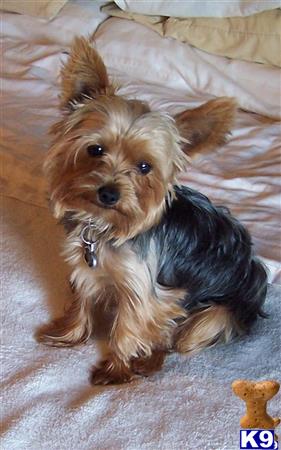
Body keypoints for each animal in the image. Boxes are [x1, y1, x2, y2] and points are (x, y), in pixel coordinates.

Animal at [37, 37, 266, 384]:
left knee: (179, 337)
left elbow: (128, 327)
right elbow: (81, 301)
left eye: (145, 167)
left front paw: (116, 371)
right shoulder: (85, 266)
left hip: (214, 316)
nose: (108, 193)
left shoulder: (143, 289)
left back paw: (149, 361)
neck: (104, 227)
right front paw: (69, 335)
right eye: (95, 149)